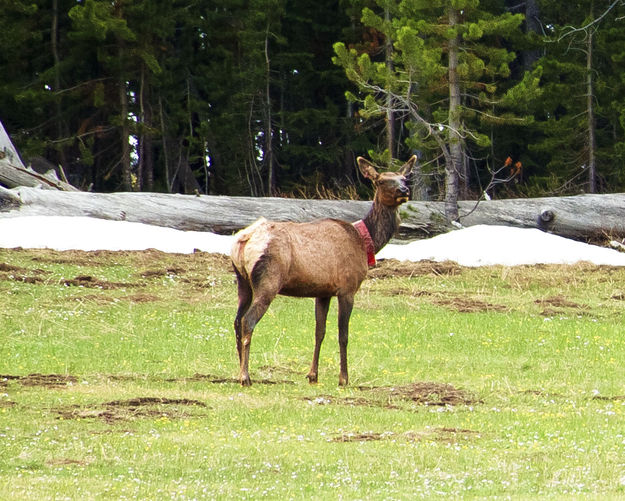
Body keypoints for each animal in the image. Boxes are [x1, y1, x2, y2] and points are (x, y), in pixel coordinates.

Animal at [229, 156, 414, 386]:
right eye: (380, 181)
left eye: (404, 178)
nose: (403, 190)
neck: (365, 243)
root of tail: (244, 240)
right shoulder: (347, 288)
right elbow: (343, 335)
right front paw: (343, 378)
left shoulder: (323, 292)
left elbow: (320, 331)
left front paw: (312, 375)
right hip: (268, 280)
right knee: (248, 321)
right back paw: (245, 376)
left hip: (242, 281)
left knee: (237, 321)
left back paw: (239, 371)